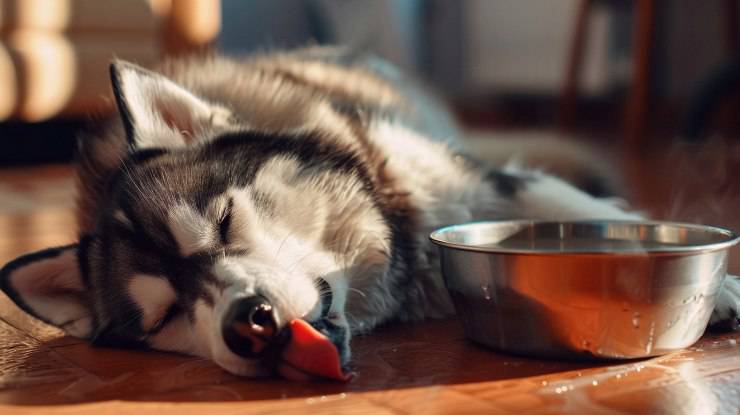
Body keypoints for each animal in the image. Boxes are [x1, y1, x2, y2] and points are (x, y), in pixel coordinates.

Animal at [1, 47, 740, 378]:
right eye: (164, 316)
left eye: (225, 220)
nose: (248, 322)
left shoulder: (473, 184)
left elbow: (578, 208)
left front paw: (721, 285)